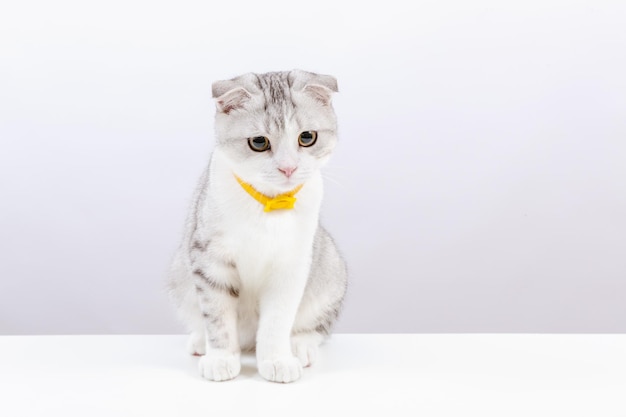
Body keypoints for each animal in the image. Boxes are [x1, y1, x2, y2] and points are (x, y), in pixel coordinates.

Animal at [167, 70, 346, 382]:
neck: (269, 204)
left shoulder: (292, 264)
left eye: (307, 137)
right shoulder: (209, 258)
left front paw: (276, 360)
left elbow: (277, 321)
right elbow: (217, 317)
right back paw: (201, 341)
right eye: (259, 142)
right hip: (180, 272)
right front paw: (221, 358)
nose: (288, 168)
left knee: (316, 327)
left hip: (332, 269)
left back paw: (300, 345)